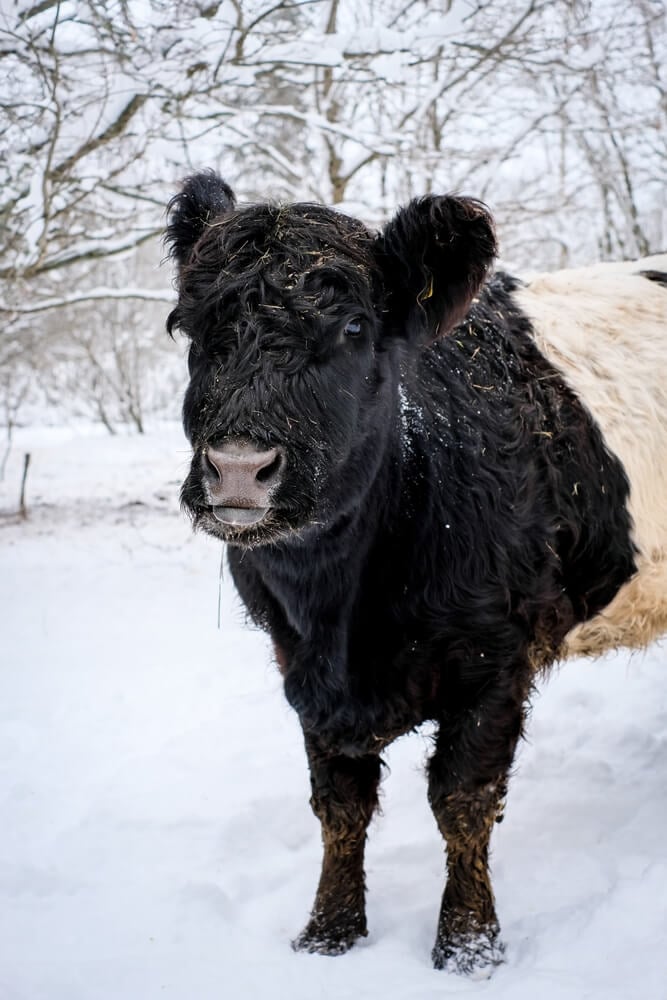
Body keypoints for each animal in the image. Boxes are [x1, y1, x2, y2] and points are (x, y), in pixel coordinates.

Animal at [165, 170, 667, 976]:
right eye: (189, 327)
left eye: (353, 329)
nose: (239, 468)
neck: (343, 614)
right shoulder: (299, 664)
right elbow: (339, 805)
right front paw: (328, 934)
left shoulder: (496, 658)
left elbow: (461, 803)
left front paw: (468, 947)